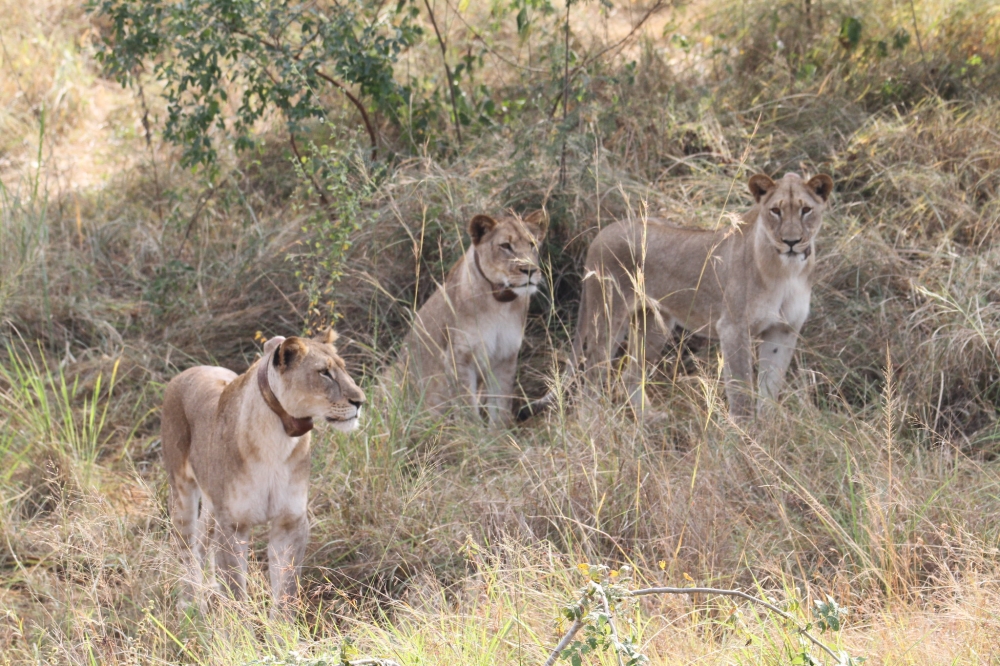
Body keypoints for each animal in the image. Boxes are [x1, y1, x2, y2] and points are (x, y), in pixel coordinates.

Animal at [160, 330, 365, 611]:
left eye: (343, 369)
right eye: (324, 373)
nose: (360, 401)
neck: (277, 438)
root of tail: (190, 370)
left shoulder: (290, 522)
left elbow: (286, 593)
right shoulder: (233, 526)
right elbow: (236, 592)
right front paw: (239, 621)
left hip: (213, 503)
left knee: (203, 539)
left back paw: (209, 589)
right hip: (182, 492)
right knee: (186, 546)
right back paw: (191, 603)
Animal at [393, 210, 548, 424]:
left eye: (532, 244)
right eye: (505, 246)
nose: (530, 270)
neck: (499, 304)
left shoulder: (505, 356)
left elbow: (500, 405)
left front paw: (498, 432)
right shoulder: (458, 359)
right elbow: (467, 408)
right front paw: (474, 433)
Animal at [520, 172, 833, 421]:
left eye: (806, 210)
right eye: (775, 211)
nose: (791, 241)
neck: (786, 270)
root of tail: (602, 233)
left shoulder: (783, 330)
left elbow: (770, 387)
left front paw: (767, 430)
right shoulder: (733, 327)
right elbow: (742, 388)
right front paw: (746, 437)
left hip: (654, 323)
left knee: (629, 375)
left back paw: (650, 420)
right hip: (606, 316)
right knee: (592, 378)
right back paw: (592, 428)